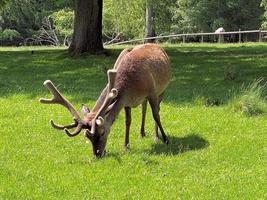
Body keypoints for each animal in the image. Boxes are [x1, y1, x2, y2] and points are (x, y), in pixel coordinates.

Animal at [40, 43, 172, 157]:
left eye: (102, 132)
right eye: (87, 137)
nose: (97, 154)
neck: (132, 86)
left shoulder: (152, 92)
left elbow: (156, 115)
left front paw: (165, 139)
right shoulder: (126, 101)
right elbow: (127, 121)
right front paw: (126, 145)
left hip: (163, 89)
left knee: (157, 110)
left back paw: (156, 136)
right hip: (145, 99)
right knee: (143, 109)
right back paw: (142, 132)